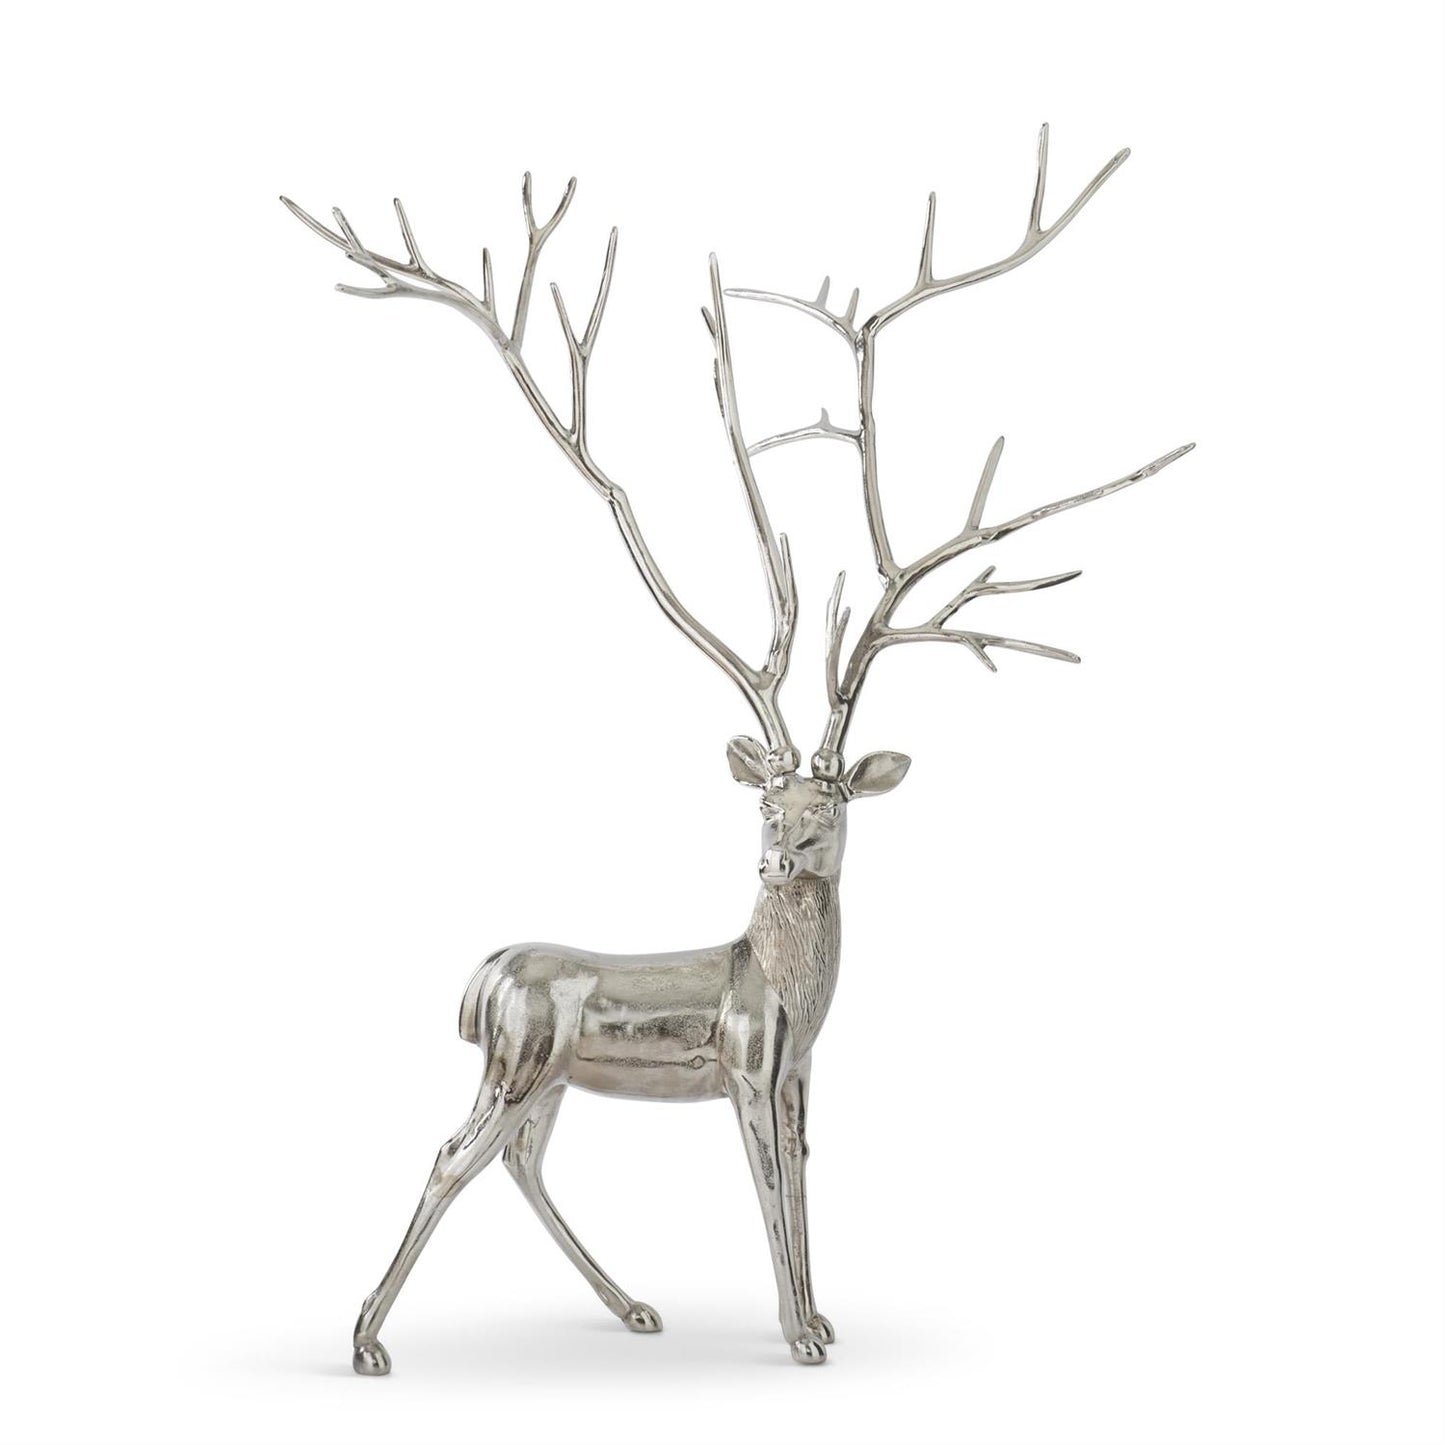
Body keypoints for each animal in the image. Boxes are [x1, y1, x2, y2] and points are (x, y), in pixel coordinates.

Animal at [282, 125, 1193, 1373]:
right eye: (764, 806)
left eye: (828, 808)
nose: (776, 854)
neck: (784, 990)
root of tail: (478, 977)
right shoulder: (746, 1066)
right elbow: (765, 1189)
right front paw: (798, 1334)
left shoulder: (799, 1070)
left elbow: (802, 1180)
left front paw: (821, 1317)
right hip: (516, 1056)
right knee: (449, 1154)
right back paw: (369, 1342)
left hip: (547, 1074)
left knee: (517, 1159)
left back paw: (630, 1305)